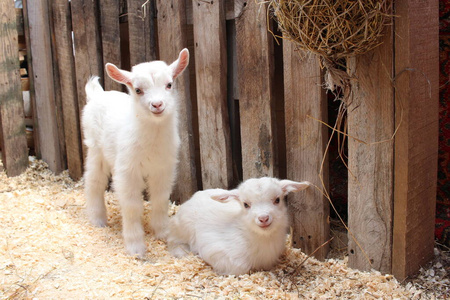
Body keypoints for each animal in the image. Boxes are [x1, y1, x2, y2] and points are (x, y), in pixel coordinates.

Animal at [81, 48, 189, 258]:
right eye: (138, 90)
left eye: (169, 84)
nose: (157, 105)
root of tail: (97, 95)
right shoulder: (127, 171)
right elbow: (132, 206)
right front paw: (135, 248)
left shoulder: (163, 169)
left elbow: (160, 198)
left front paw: (163, 232)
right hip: (95, 147)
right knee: (94, 180)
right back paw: (98, 220)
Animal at [167, 177, 312, 276]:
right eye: (245, 204)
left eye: (277, 200)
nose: (263, 218)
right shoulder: (217, 250)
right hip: (182, 229)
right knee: (174, 242)